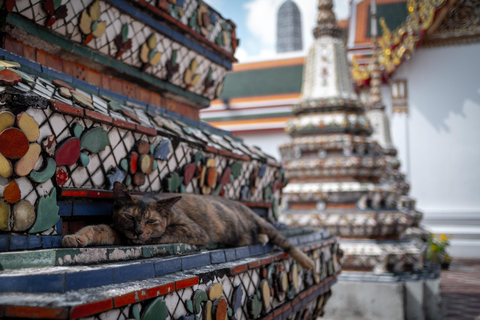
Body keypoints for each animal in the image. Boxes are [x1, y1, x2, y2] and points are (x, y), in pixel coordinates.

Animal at [62, 182, 316, 270]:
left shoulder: (193, 230)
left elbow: (165, 233)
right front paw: (75, 238)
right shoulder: (115, 230)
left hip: (263, 224)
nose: (137, 231)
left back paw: (308, 262)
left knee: (284, 242)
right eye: (129, 217)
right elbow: (97, 229)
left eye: (151, 221)